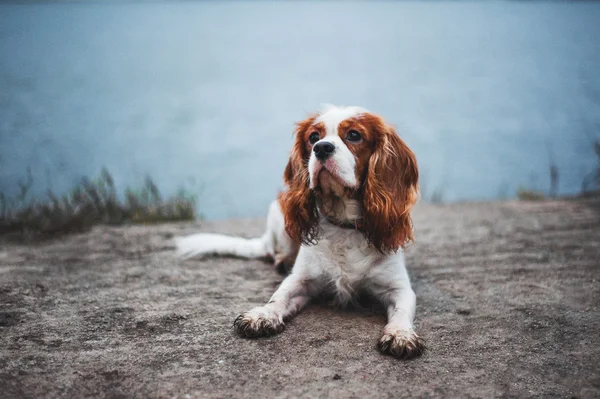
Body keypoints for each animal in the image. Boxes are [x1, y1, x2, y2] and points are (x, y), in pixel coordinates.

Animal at [176, 104, 424, 360]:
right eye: (313, 137)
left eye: (354, 135)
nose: (322, 147)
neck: (343, 223)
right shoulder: (301, 280)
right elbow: (280, 295)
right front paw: (262, 315)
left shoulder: (398, 287)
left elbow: (402, 310)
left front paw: (401, 334)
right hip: (280, 212)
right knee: (275, 250)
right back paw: (282, 260)